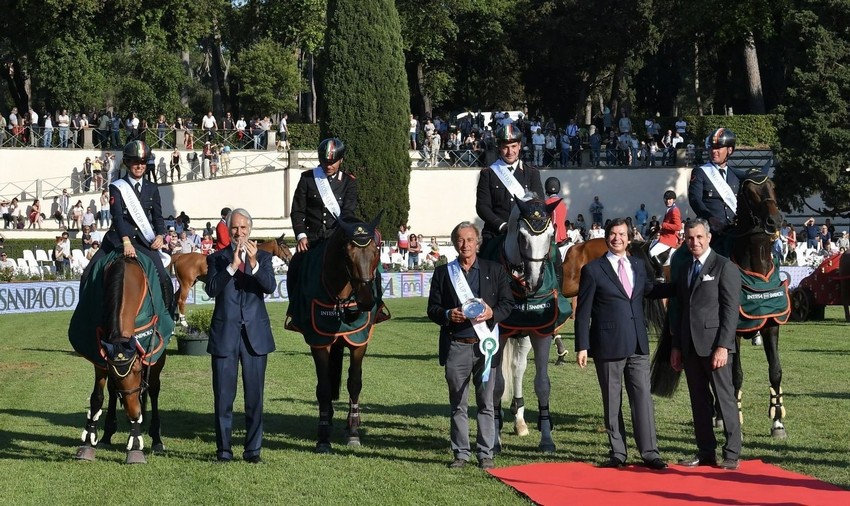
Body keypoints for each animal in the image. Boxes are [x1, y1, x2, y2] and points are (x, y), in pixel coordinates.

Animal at [76, 258, 169, 464]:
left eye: (137, 370)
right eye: (113, 372)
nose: (134, 412)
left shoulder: (152, 350)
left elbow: (150, 390)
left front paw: (135, 444)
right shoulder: (100, 354)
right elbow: (97, 397)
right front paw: (88, 441)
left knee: (154, 389)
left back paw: (156, 439)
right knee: (112, 392)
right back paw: (106, 435)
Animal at [286, 215, 386, 452]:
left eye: (376, 251)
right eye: (347, 255)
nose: (366, 301)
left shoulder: (359, 341)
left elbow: (354, 383)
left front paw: (353, 432)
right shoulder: (319, 341)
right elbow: (324, 386)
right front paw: (323, 436)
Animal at [486, 196, 568, 452]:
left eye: (550, 235)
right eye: (522, 236)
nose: (534, 280)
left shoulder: (540, 333)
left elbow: (542, 384)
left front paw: (546, 438)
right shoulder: (500, 335)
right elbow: (497, 386)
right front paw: (495, 439)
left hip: (523, 337)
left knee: (518, 368)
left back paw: (519, 419)